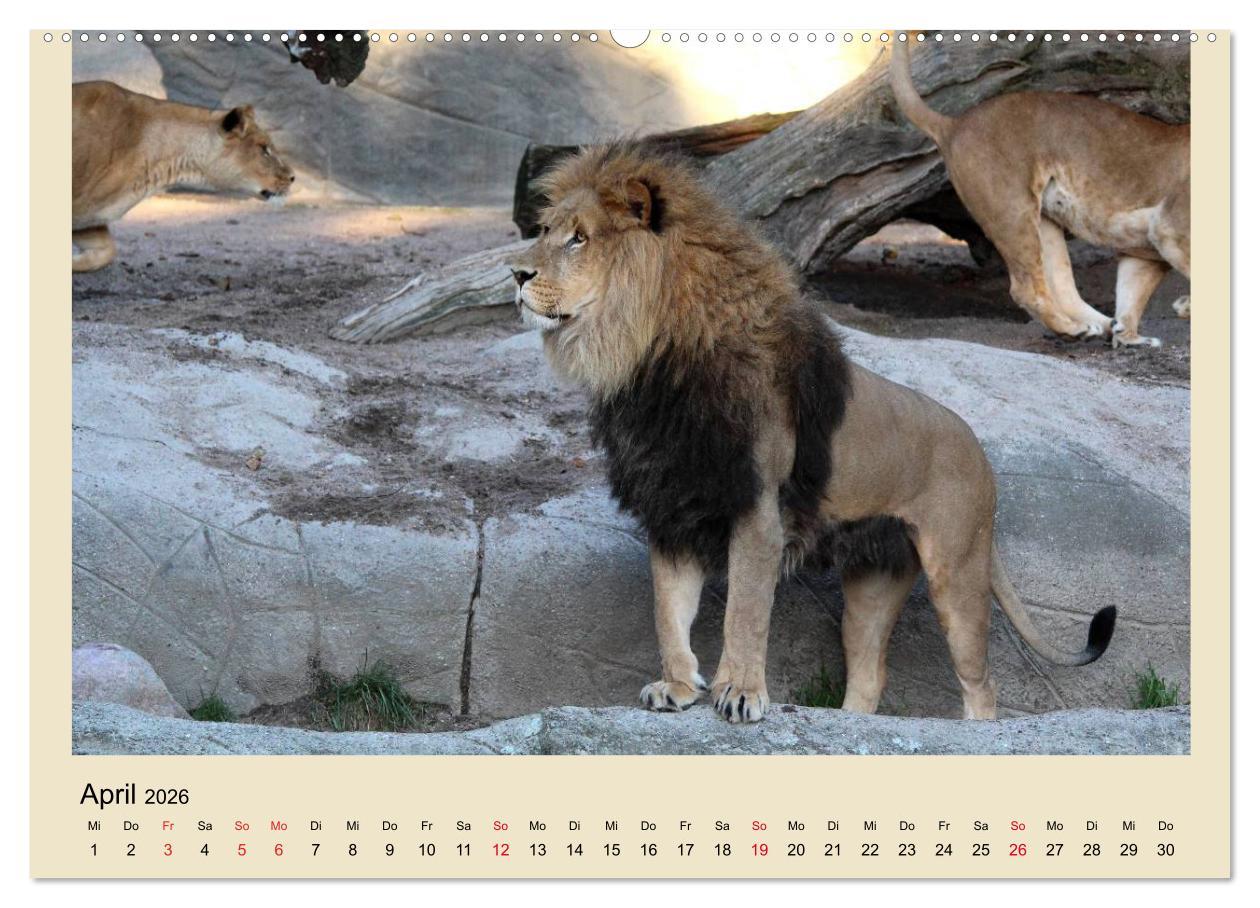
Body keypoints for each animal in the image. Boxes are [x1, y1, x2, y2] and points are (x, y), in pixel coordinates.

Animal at [509, 143, 1116, 722]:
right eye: (546, 231)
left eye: (580, 239)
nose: (516, 275)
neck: (651, 360)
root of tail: (981, 452)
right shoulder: (674, 508)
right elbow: (668, 611)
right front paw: (677, 687)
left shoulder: (758, 511)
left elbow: (745, 612)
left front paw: (740, 694)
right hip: (873, 581)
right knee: (870, 676)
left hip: (957, 568)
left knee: (980, 683)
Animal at [891, 40, 1190, 348]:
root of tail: (954, 124)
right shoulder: (1171, 230)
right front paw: (1184, 307)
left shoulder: (1149, 251)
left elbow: (1132, 295)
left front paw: (1130, 338)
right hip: (1012, 211)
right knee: (1025, 289)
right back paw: (1074, 329)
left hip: (1044, 223)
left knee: (1062, 288)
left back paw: (1102, 326)